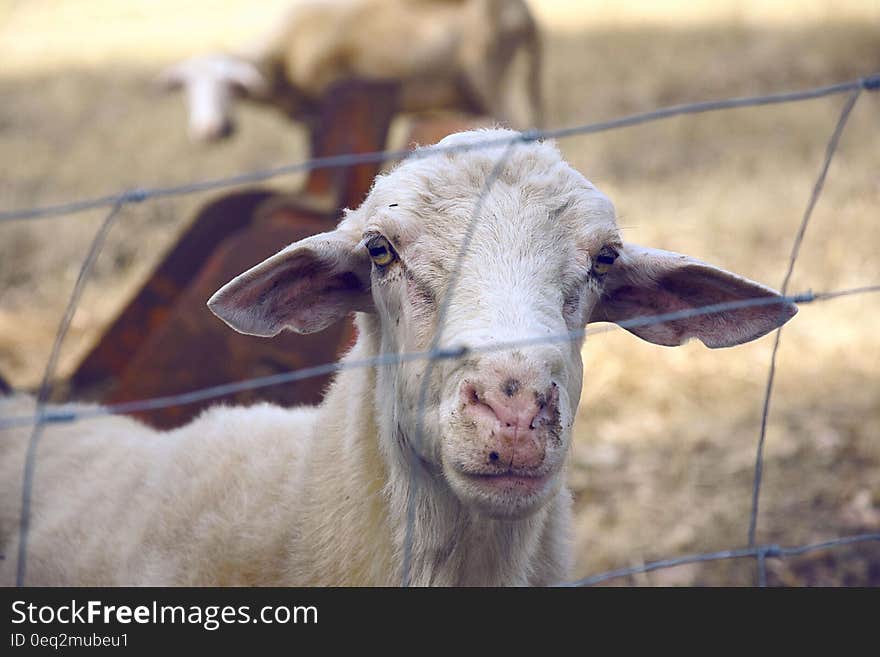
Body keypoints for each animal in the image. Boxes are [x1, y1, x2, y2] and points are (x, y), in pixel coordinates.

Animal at [158, 0, 544, 142]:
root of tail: (523, 13)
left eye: (230, 84)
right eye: (188, 88)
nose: (210, 131)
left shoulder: (321, 110)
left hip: (493, 80)